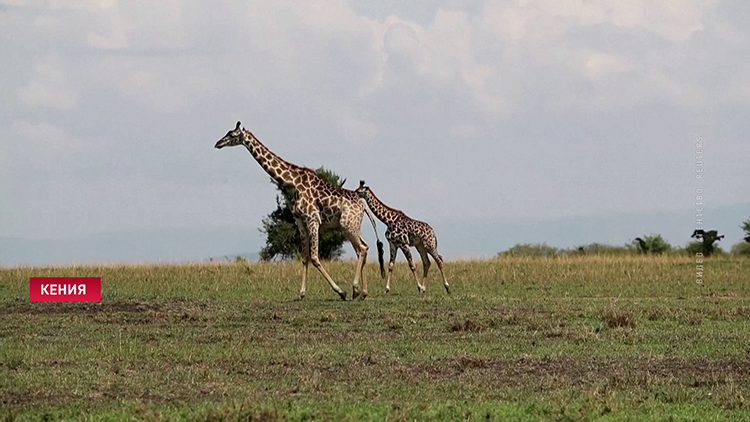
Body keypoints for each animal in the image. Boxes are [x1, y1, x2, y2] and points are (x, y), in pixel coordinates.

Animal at [214, 121, 384, 300]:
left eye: (232, 135)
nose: (218, 143)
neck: (293, 183)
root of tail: (363, 206)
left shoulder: (313, 219)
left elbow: (315, 257)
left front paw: (340, 291)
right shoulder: (300, 222)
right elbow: (304, 257)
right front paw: (301, 293)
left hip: (348, 225)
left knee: (362, 249)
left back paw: (355, 288)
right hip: (351, 226)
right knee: (362, 249)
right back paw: (362, 292)